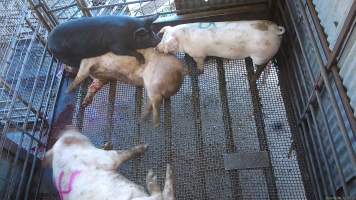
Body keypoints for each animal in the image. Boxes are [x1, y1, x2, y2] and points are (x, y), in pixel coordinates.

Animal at [42, 128, 176, 200]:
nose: (66, 129)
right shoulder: (105, 158)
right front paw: (144, 147)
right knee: (162, 195)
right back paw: (154, 175)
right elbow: (122, 154)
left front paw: (108, 144)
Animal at [157, 20, 286, 79]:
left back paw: (250, 76)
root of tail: (276, 30)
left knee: (263, 64)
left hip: (260, 55)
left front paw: (195, 72)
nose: (157, 48)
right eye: (162, 38)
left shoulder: (198, 54)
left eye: (165, 43)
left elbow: (200, 65)